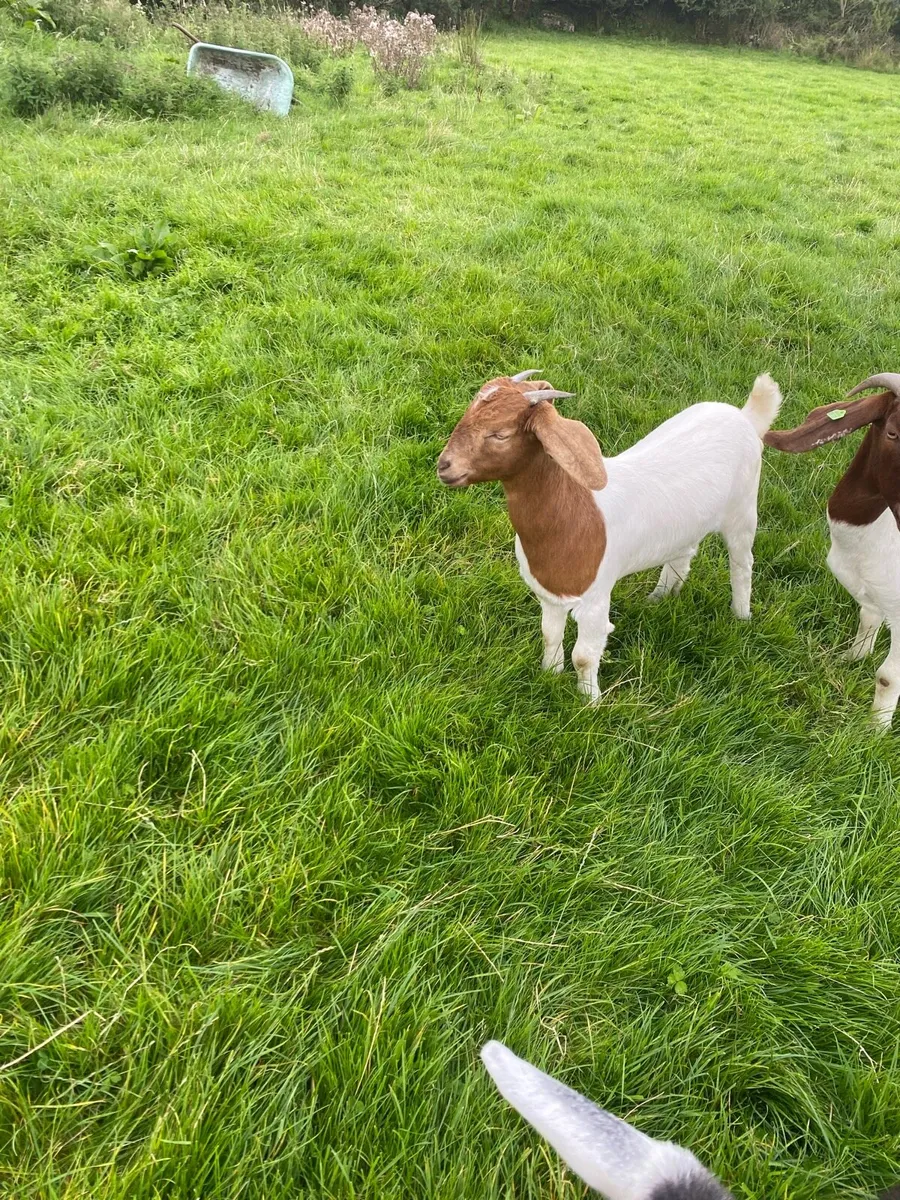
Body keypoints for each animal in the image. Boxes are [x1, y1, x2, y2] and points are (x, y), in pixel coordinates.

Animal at [437, 371, 782, 702]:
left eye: (500, 434)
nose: (443, 466)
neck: (574, 510)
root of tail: (745, 416)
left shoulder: (595, 598)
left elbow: (584, 656)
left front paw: (590, 701)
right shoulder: (549, 593)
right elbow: (549, 634)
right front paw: (549, 673)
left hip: (743, 510)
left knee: (742, 565)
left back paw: (741, 615)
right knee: (683, 555)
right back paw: (658, 598)